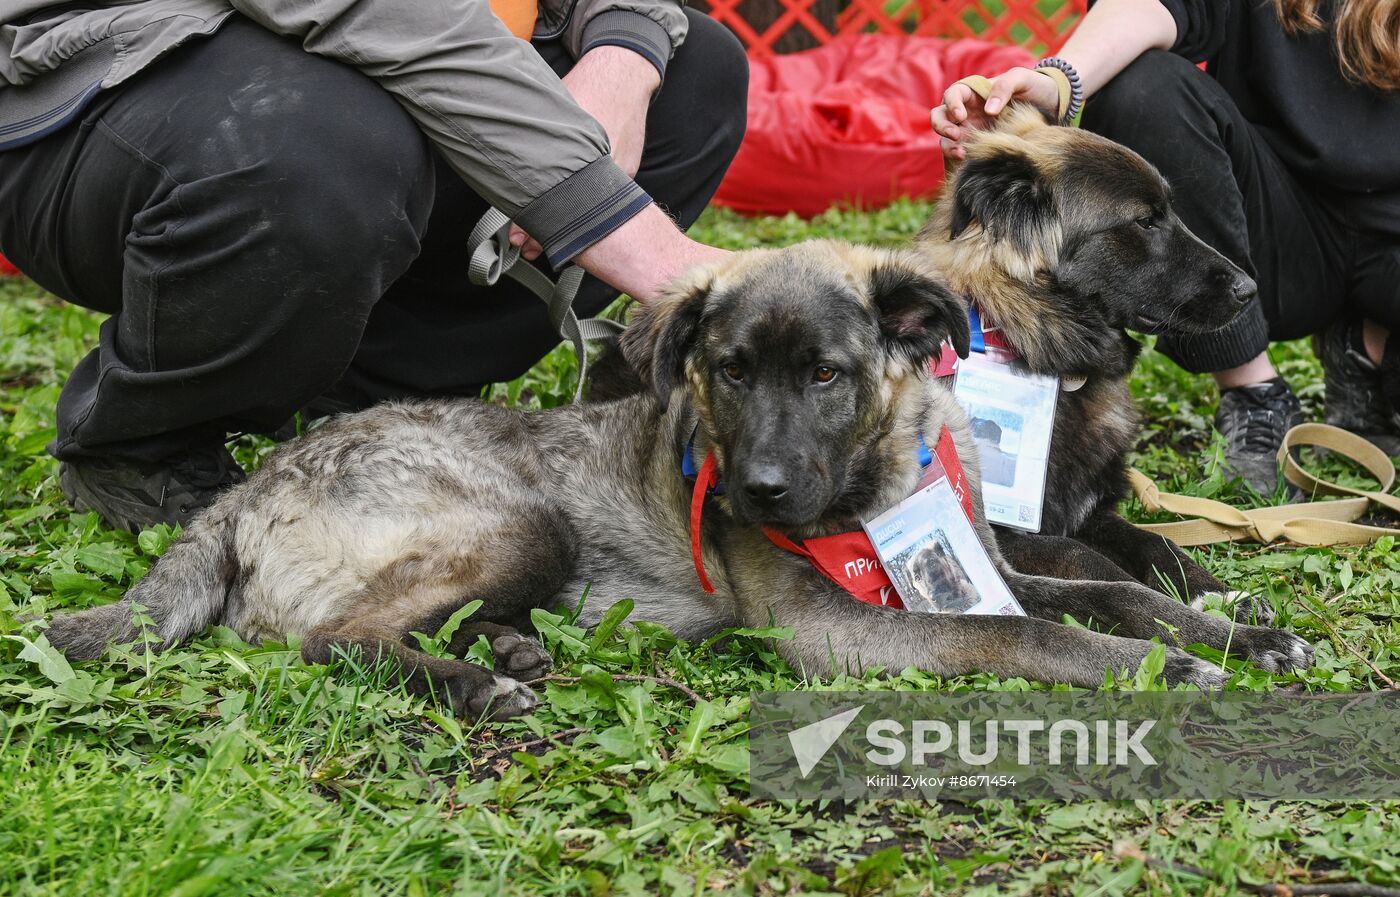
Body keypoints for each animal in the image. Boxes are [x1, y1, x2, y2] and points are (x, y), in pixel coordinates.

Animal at [46, 236, 1310, 713]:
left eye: (825, 374)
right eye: (726, 372)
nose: (757, 493)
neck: (869, 484)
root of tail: (250, 487)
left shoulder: (975, 563)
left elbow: (1106, 585)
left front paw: (1240, 633)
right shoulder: (837, 632)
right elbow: (1028, 634)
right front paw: (1157, 670)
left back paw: (510, 651)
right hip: (514, 525)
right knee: (330, 639)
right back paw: (479, 685)